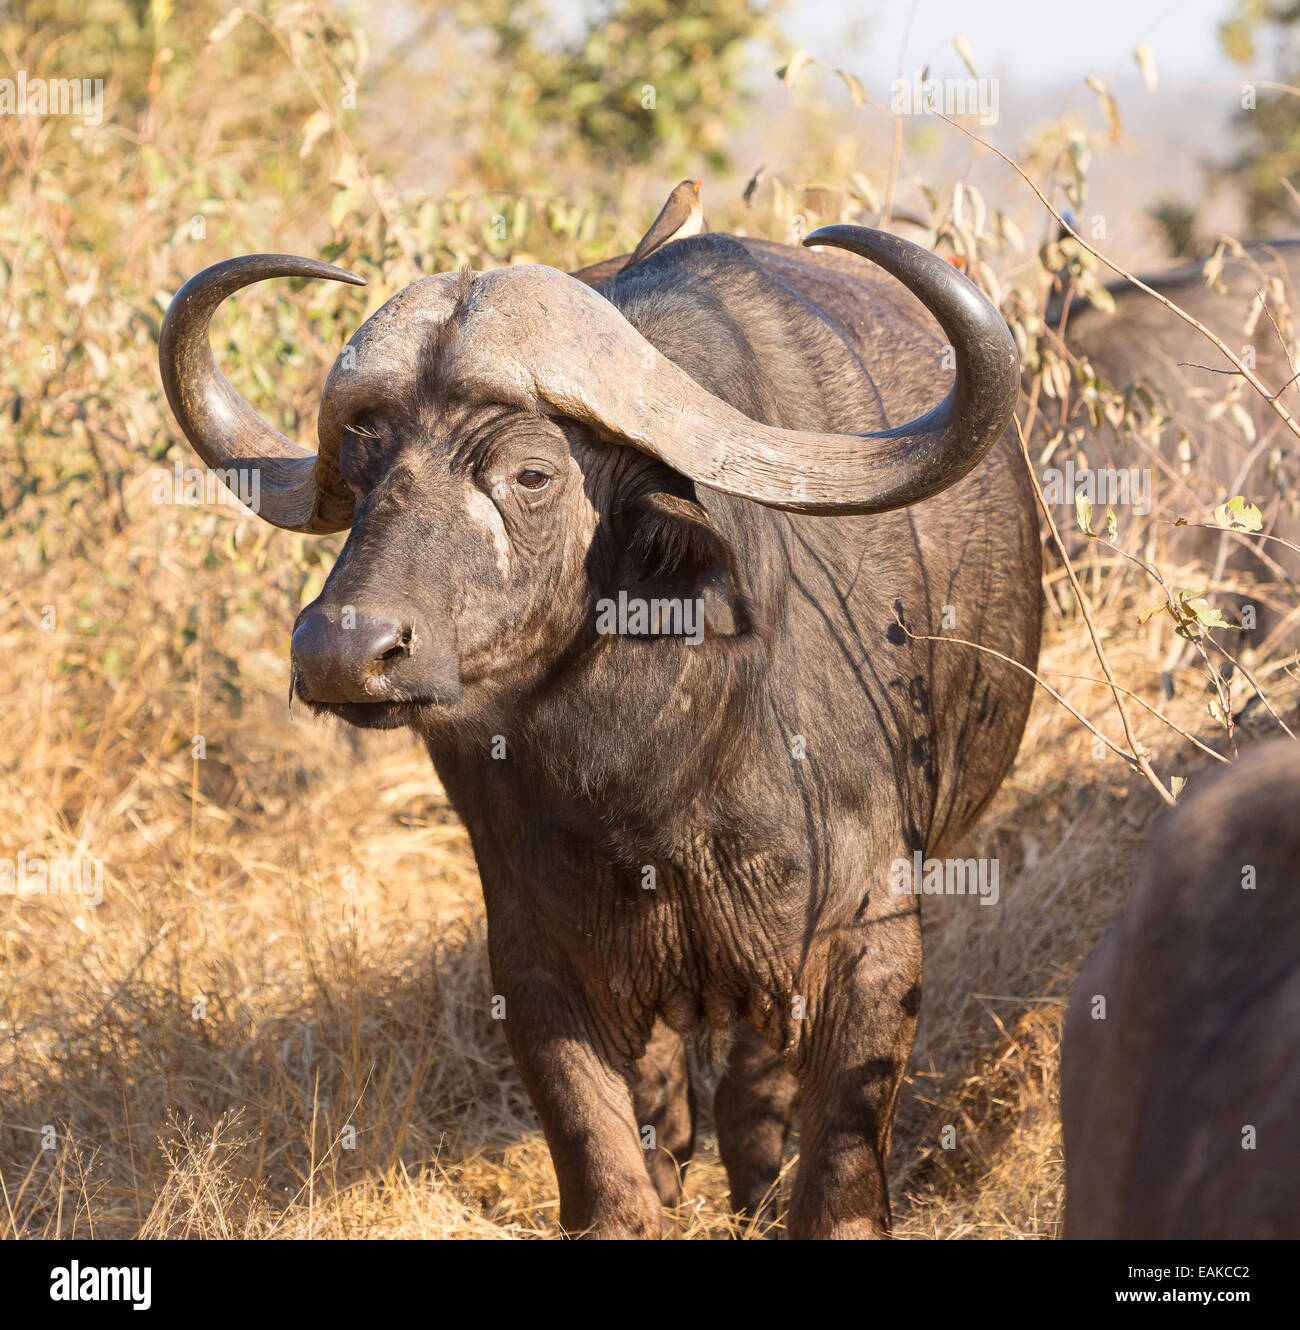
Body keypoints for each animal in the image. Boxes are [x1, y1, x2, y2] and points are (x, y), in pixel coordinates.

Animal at [157, 215, 1037, 1234]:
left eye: (531, 473)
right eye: (364, 466)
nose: (342, 650)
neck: (659, 775)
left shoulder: (868, 937)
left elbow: (836, 1170)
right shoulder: (537, 954)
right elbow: (604, 1160)